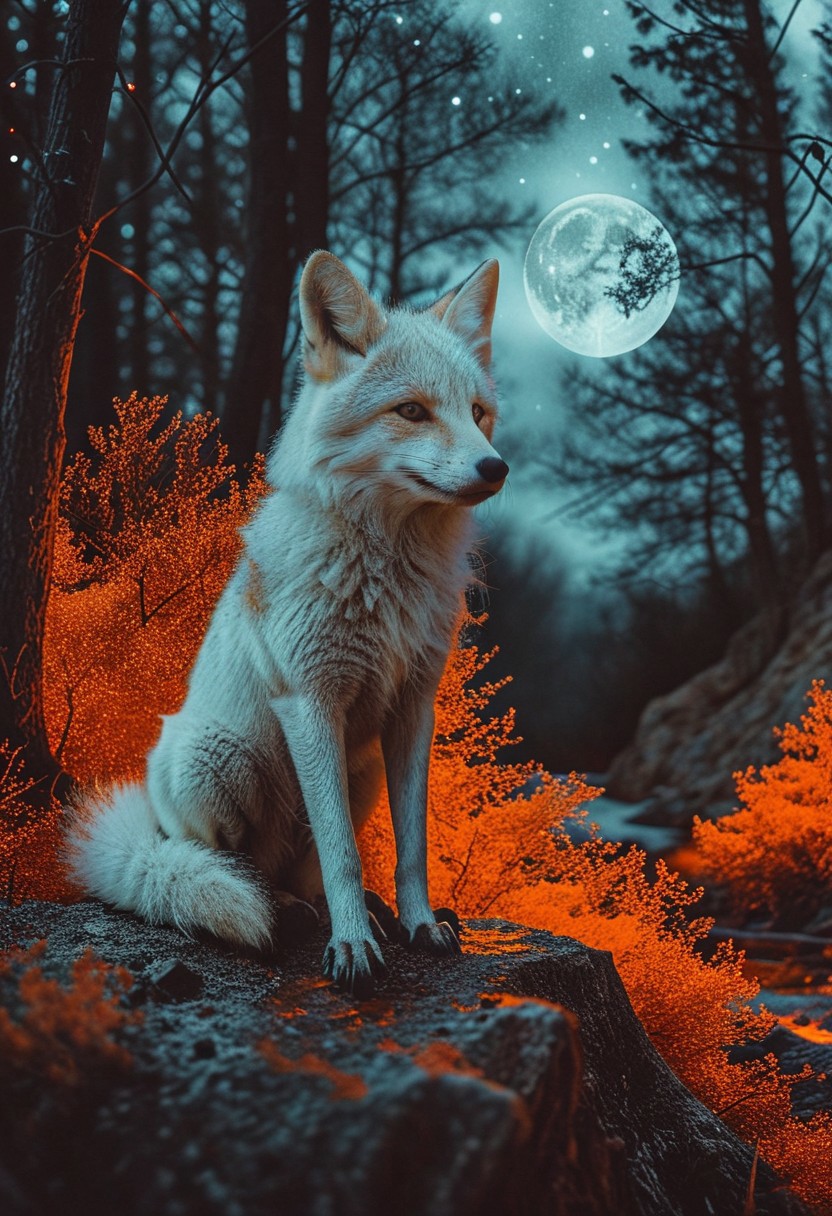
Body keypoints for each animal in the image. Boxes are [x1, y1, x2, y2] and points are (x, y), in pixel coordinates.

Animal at [66, 249, 508, 996]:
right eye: (411, 411)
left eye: (477, 413)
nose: (495, 467)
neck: (386, 573)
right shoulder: (310, 702)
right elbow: (344, 857)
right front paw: (353, 949)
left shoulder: (414, 708)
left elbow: (409, 847)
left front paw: (418, 926)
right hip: (219, 761)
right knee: (237, 869)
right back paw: (281, 911)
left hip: (361, 772)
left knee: (300, 872)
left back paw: (343, 910)